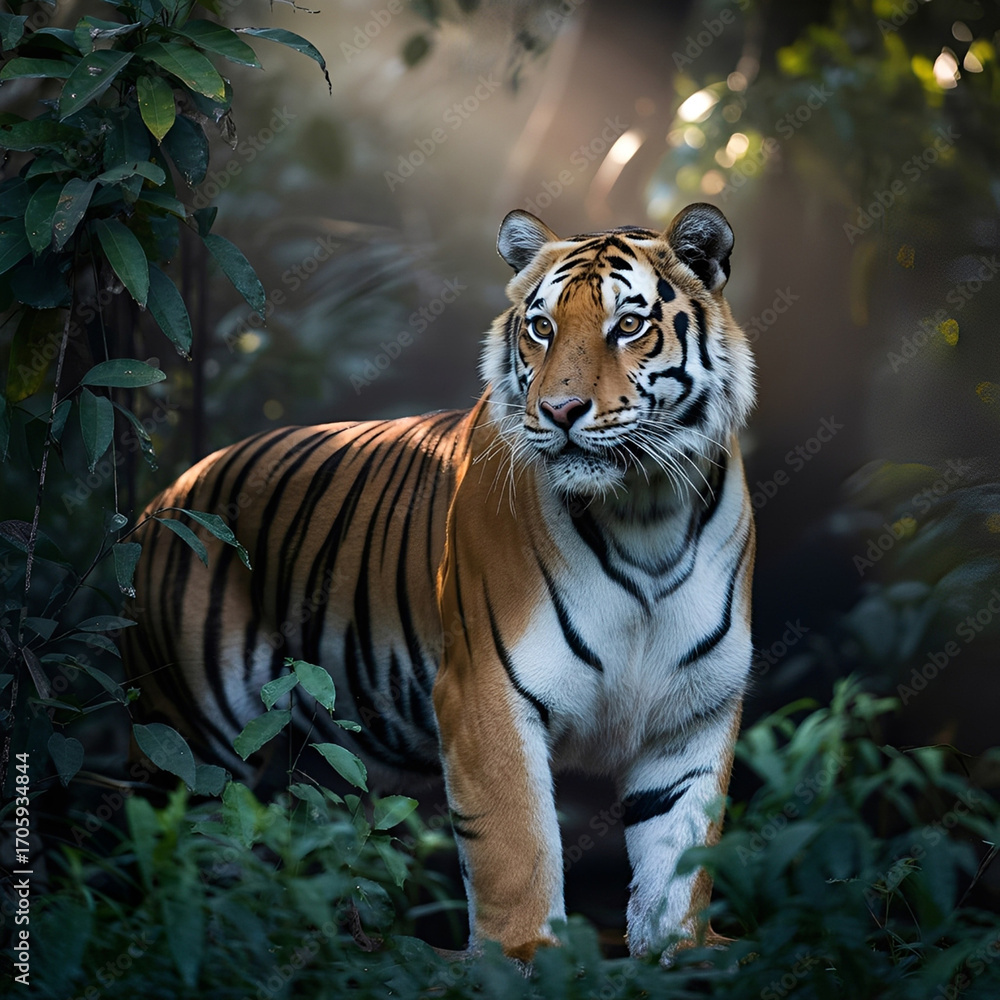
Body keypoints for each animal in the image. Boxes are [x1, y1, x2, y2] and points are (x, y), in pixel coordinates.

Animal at [123, 203, 756, 963]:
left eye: (628, 326)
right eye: (542, 328)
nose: (560, 411)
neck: (645, 513)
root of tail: (167, 496)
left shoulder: (694, 712)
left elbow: (680, 851)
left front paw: (682, 950)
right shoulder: (485, 691)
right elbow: (515, 843)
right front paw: (525, 956)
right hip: (193, 739)